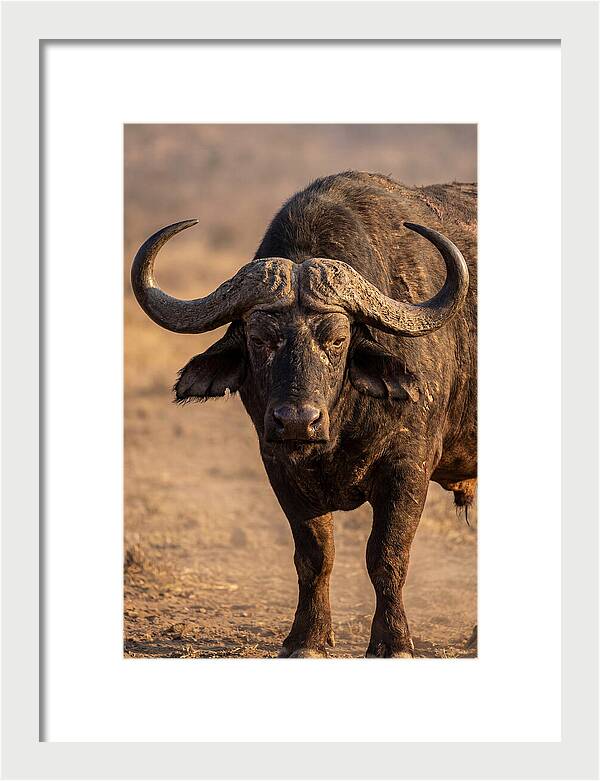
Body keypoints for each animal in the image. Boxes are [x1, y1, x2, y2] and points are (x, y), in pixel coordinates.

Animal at [131, 171, 477, 658]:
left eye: (337, 339)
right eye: (259, 339)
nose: (296, 420)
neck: (339, 428)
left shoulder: (407, 468)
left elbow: (387, 555)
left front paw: (393, 642)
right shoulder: (279, 466)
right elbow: (315, 556)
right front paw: (307, 638)